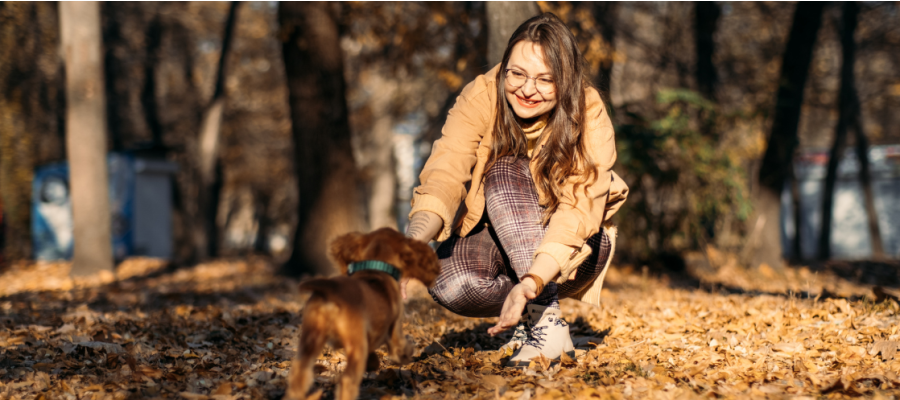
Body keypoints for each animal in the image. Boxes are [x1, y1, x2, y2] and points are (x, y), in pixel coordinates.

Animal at [284, 228, 440, 400]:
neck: (376, 267)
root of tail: (332, 290)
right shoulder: (395, 330)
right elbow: (401, 350)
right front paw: (408, 353)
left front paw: (373, 363)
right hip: (356, 346)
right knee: (347, 381)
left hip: (311, 338)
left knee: (299, 373)